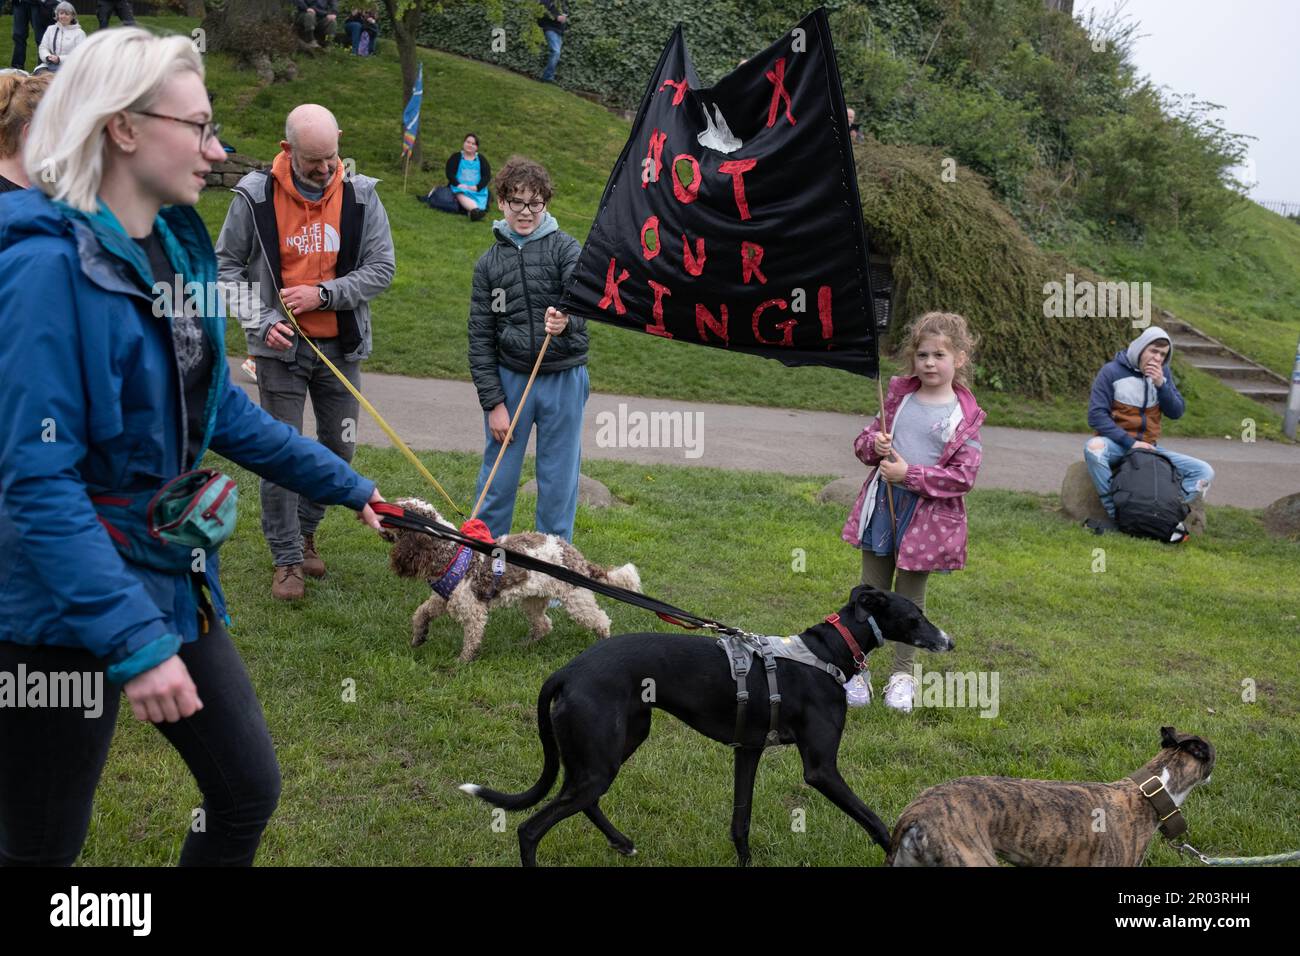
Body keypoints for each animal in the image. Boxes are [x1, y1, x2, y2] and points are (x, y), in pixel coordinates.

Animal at [379, 496, 642, 660]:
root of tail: (575, 555)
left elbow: (471, 640)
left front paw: (462, 663)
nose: (377, 508)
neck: (450, 551)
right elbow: (420, 613)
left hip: (577, 600)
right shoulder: (444, 599)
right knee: (543, 625)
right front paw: (418, 637)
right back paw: (525, 646)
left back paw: (602, 642)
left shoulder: (473, 610)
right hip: (533, 600)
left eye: (396, 509)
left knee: (601, 621)